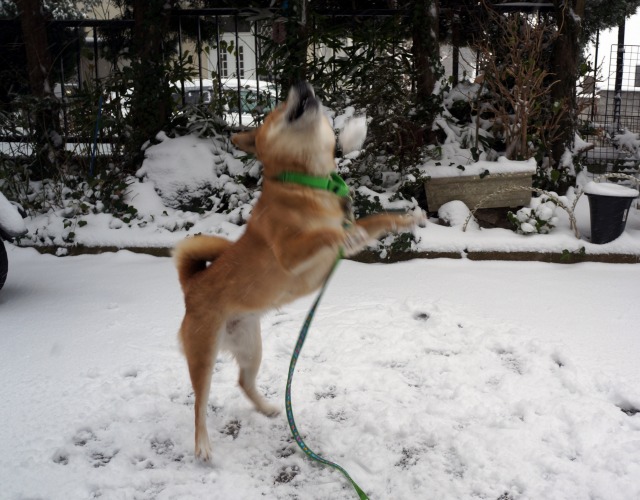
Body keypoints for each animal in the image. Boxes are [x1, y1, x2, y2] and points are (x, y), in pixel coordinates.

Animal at [174, 81, 421, 461]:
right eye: (277, 108)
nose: (302, 84)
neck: (309, 183)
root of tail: (193, 284)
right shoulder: (292, 251)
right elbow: (328, 233)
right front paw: (346, 231)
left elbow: (374, 221)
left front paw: (405, 218)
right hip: (203, 353)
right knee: (199, 402)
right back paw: (202, 445)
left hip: (250, 347)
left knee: (243, 382)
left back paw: (267, 409)